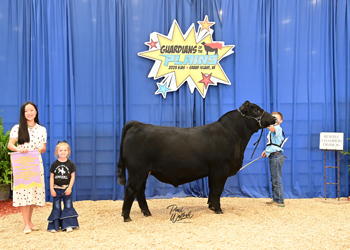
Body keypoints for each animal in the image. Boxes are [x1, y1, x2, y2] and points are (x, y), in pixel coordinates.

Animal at [117, 100, 276, 222]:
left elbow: (212, 190)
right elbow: (217, 190)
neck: (235, 135)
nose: (274, 119)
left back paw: (147, 213)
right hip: (137, 170)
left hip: (143, 172)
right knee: (131, 189)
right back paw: (126, 217)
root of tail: (138, 124)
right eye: (256, 109)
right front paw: (218, 210)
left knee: (140, 192)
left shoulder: (213, 172)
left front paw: (211, 207)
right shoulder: (220, 169)